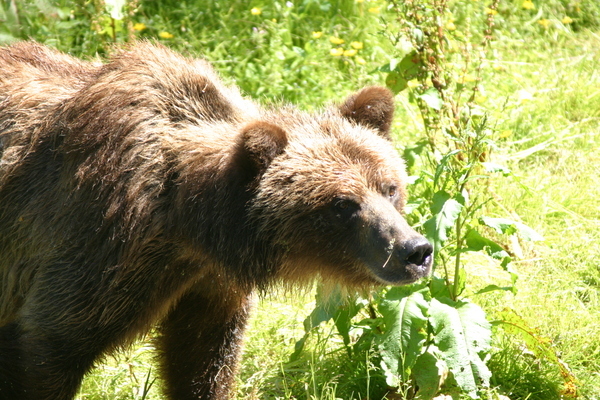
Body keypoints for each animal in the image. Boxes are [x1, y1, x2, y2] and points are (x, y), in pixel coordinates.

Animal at [0, 41, 432, 400]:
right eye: (343, 204)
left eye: (389, 187)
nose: (414, 250)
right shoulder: (97, 242)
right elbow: (49, 345)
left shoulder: (208, 286)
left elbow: (203, 362)